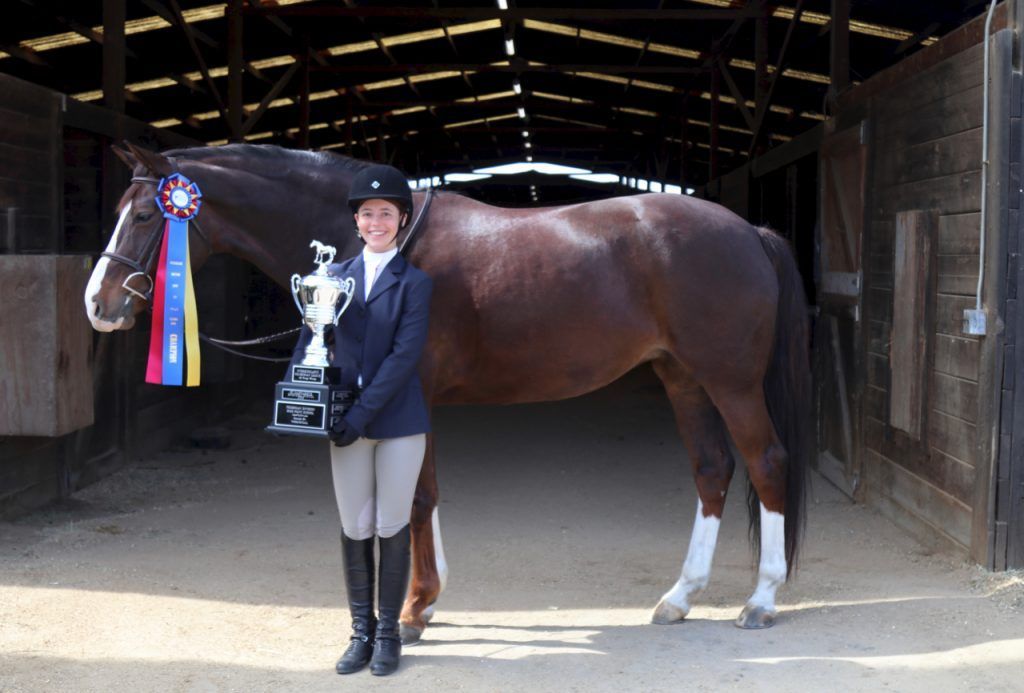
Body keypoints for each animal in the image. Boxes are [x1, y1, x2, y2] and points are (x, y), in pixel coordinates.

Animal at [86, 143, 806, 638]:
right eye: (121, 210)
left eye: (148, 213)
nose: (99, 304)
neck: (388, 248)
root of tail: (749, 231)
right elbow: (420, 492)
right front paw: (425, 602)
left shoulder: (409, 389)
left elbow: (416, 495)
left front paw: (412, 610)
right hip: (683, 378)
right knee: (712, 470)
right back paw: (679, 597)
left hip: (730, 381)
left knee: (765, 463)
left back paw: (761, 600)